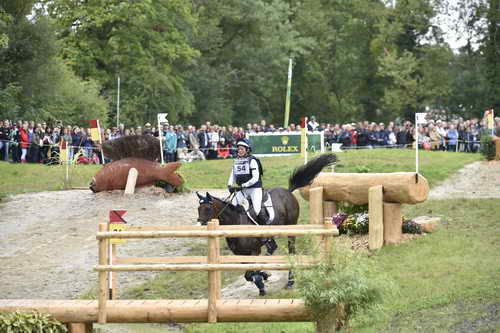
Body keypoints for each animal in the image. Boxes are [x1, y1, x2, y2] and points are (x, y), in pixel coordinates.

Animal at [195, 152, 336, 294]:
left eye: (208, 209)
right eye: (198, 209)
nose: (200, 225)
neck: (236, 222)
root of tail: (288, 191)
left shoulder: (254, 250)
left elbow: (250, 273)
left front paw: (261, 278)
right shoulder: (241, 254)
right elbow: (248, 275)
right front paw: (261, 281)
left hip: (290, 229)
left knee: (290, 252)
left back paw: (290, 282)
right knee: (272, 247)